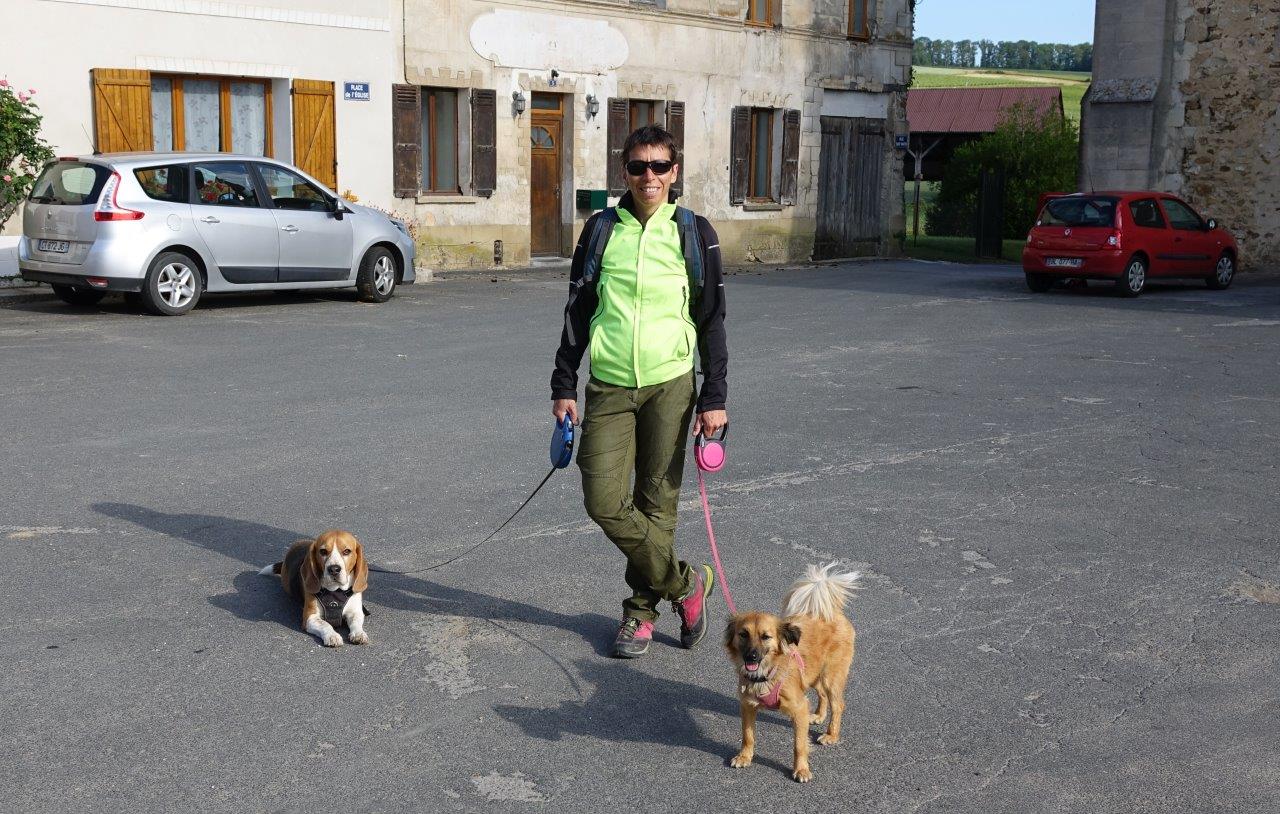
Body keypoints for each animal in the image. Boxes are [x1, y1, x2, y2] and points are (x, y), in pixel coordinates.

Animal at [721, 560, 860, 783]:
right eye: (743, 634)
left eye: (766, 637)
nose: (751, 657)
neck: (767, 674)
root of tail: (830, 612)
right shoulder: (748, 706)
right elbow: (747, 736)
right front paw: (745, 757)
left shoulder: (799, 709)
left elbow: (799, 745)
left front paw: (801, 770)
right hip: (814, 675)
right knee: (822, 694)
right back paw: (819, 716)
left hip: (831, 676)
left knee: (838, 705)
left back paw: (831, 735)